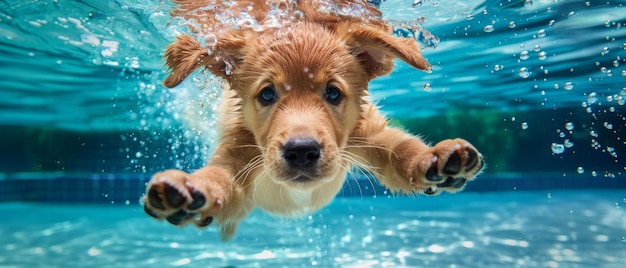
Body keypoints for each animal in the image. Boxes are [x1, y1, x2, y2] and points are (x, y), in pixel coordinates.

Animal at [141, 0, 482, 241]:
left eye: (333, 93)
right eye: (267, 94)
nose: (302, 151)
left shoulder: (366, 133)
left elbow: (400, 150)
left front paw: (433, 158)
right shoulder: (238, 151)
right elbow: (219, 177)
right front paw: (193, 188)